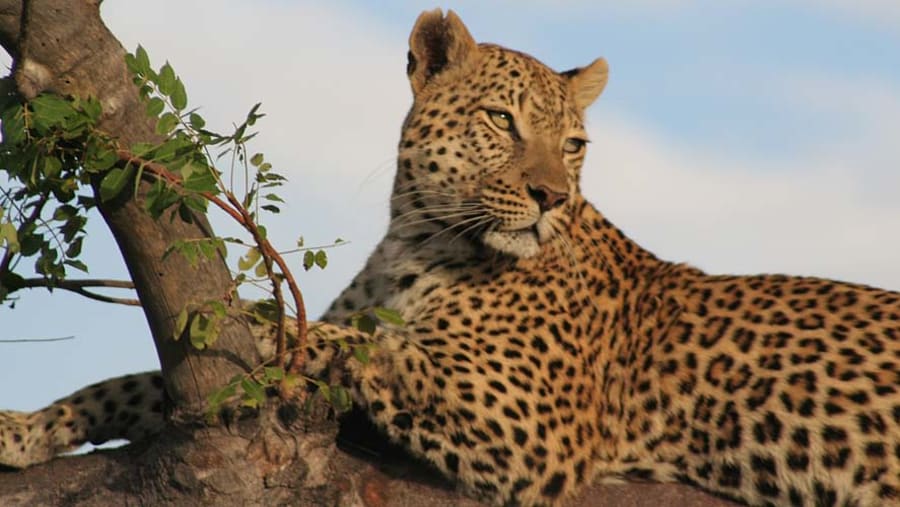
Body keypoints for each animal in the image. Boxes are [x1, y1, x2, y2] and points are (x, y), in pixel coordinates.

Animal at [3, 8, 900, 507]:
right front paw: (30, 427)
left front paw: (264, 321)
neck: (419, 234)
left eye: (575, 146)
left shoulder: (529, 422)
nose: (551, 197)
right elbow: (134, 383)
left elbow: (373, 344)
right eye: (504, 121)